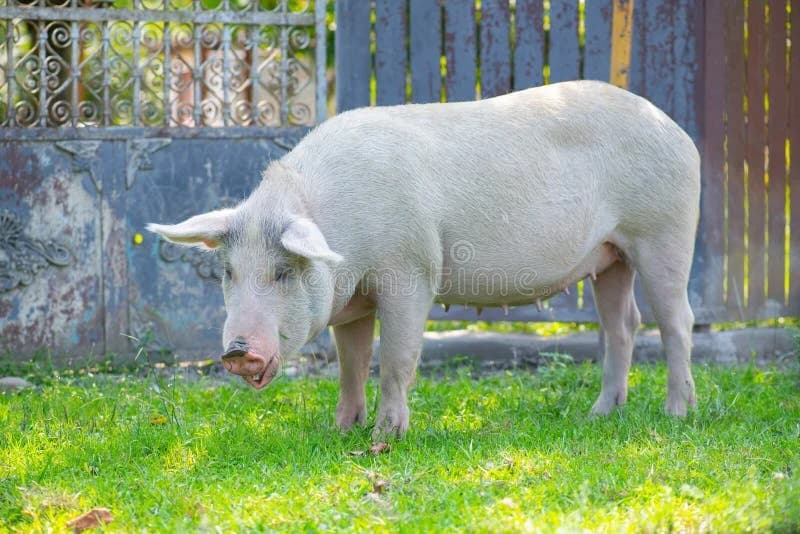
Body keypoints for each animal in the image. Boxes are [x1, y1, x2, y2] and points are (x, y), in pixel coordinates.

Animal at [148, 80, 699, 437]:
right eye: (228, 272)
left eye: (284, 272)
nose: (237, 351)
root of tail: (675, 128)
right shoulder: (352, 302)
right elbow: (351, 364)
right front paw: (341, 432)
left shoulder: (411, 270)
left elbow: (396, 359)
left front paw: (385, 439)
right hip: (611, 257)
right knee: (624, 324)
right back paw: (599, 416)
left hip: (664, 230)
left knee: (677, 321)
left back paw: (677, 413)